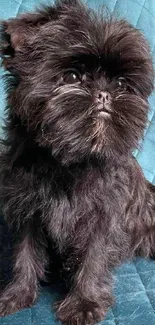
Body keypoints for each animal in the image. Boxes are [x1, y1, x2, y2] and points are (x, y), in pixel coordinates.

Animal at [0, 0, 155, 322]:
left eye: (121, 83)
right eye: (71, 77)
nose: (105, 93)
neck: (68, 161)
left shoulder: (103, 216)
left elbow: (93, 258)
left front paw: (84, 302)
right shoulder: (28, 211)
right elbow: (24, 254)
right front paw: (18, 294)